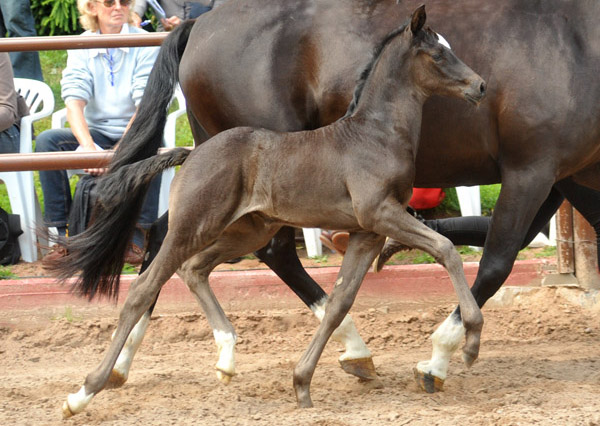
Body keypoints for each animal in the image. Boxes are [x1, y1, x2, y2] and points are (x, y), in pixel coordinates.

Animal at [51, 0, 600, 392]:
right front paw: (447, 354)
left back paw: (153, 361)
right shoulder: (530, 170)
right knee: (252, 255)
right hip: (240, 210)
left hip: (233, 215)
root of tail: (197, 23)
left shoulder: (572, 175)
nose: (481, 86)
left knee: (177, 250)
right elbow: (487, 260)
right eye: (437, 51)